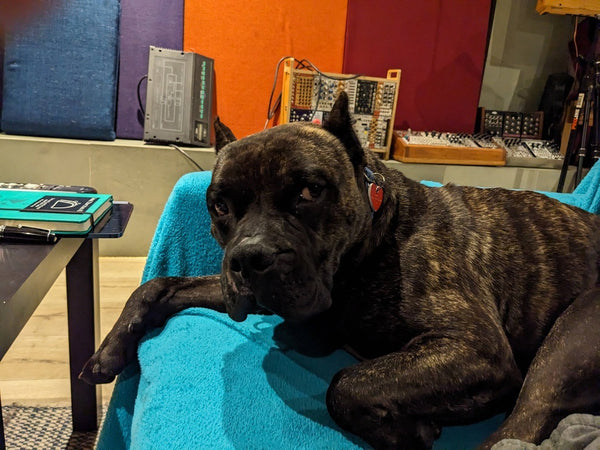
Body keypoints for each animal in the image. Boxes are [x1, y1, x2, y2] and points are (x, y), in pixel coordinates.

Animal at [79, 93, 600, 448]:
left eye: (310, 191)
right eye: (220, 205)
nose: (250, 257)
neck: (374, 243)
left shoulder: (474, 347)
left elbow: (346, 384)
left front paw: (408, 430)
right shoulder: (231, 290)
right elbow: (158, 285)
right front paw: (108, 351)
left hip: (564, 343)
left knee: (519, 427)